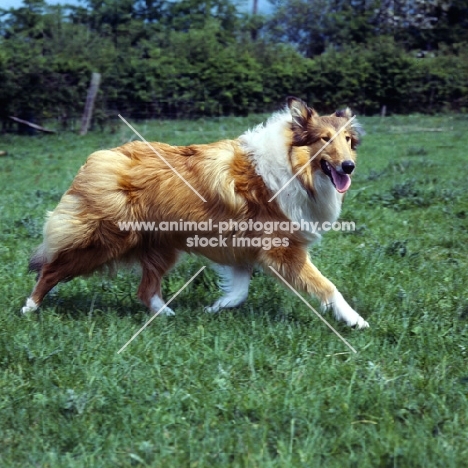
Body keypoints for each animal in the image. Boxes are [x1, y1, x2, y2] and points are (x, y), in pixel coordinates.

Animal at [22, 96, 370, 328]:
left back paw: (167, 315)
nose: (349, 166)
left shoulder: (242, 248)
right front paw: (356, 321)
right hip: (106, 240)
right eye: (325, 139)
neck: (293, 168)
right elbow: (327, 286)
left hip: (159, 245)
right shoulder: (283, 249)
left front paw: (215, 308)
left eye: (348, 140)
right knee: (50, 269)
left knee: (145, 289)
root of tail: (100, 158)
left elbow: (240, 290)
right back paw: (29, 308)